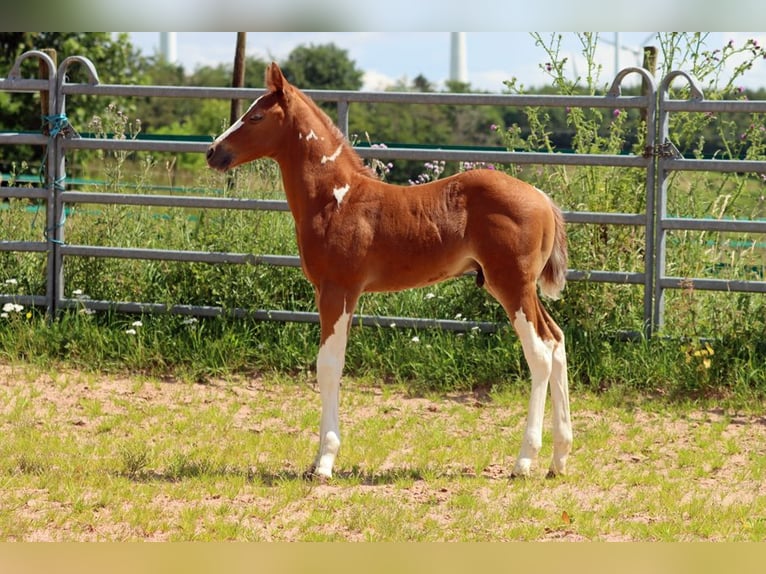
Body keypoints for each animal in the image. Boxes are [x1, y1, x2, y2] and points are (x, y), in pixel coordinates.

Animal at [207, 63, 572, 482]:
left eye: (255, 117)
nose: (213, 151)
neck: (336, 198)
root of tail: (542, 198)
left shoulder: (339, 290)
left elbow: (328, 365)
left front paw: (325, 461)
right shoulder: (328, 292)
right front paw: (318, 459)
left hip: (511, 285)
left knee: (540, 353)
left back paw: (524, 461)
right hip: (522, 288)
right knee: (556, 341)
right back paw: (559, 459)